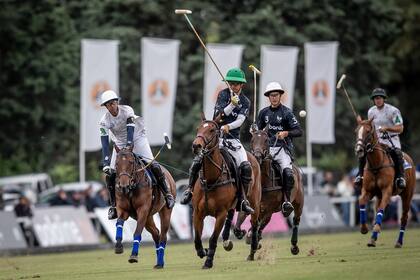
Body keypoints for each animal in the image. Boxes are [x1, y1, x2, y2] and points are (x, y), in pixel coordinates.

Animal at [192, 115, 260, 268]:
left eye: (212, 130)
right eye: (198, 128)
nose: (196, 145)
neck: (211, 179)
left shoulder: (220, 214)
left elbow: (212, 238)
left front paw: (208, 262)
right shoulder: (198, 213)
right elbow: (197, 238)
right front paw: (203, 251)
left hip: (255, 201)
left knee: (254, 222)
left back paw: (252, 250)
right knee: (232, 215)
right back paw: (228, 238)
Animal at [354, 118, 416, 247]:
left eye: (368, 131)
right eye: (356, 131)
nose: (359, 149)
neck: (376, 165)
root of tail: (409, 159)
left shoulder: (387, 190)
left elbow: (381, 211)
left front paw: (376, 229)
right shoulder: (368, 191)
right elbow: (361, 201)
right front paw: (364, 228)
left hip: (407, 195)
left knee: (404, 217)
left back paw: (398, 242)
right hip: (379, 196)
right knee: (377, 210)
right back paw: (373, 237)